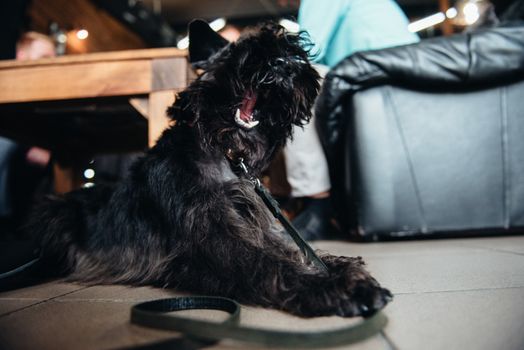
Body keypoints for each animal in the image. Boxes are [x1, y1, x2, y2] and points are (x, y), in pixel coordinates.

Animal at [27, 20, 388, 318]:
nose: (285, 65)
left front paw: (340, 267)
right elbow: (269, 262)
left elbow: (293, 248)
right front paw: (334, 286)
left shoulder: (256, 227)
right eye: (239, 50)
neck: (225, 154)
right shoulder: (212, 242)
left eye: (294, 55)